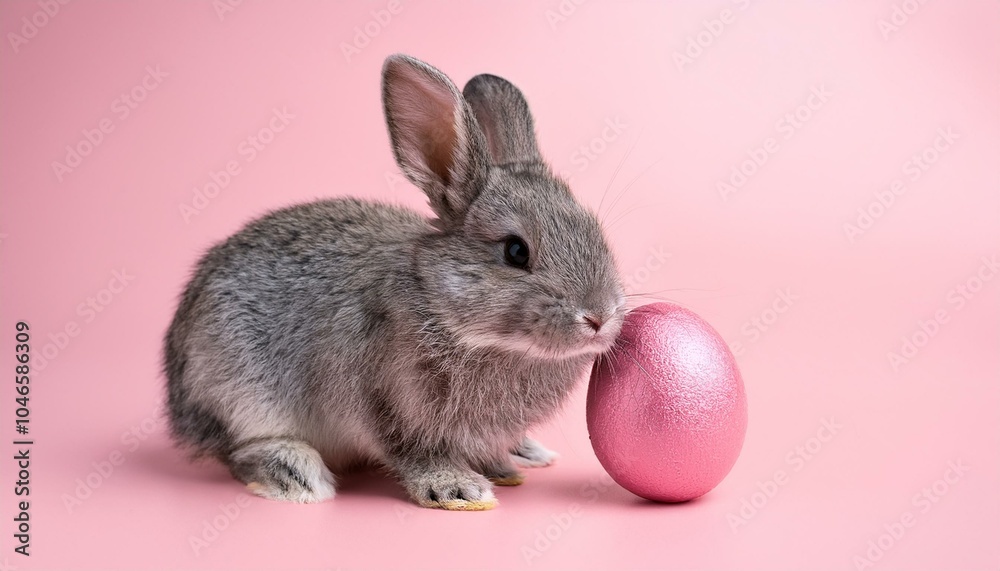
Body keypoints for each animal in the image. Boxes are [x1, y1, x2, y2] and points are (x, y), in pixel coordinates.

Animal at [163, 54, 626, 511]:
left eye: (595, 231)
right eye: (515, 251)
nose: (599, 317)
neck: (447, 309)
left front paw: (500, 467)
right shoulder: (382, 401)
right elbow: (411, 451)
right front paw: (459, 489)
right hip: (237, 391)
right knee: (238, 450)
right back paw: (295, 474)